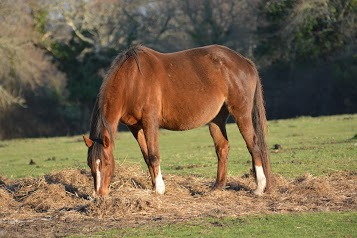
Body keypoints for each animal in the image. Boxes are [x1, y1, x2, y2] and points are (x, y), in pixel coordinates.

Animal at [83, 45, 272, 196]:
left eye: (107, 163)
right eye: (90, 165)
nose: (99, 195)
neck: (132, 80)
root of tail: (245, 61)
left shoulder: (150, 122)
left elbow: (153, 155)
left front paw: (159, 189)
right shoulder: (135, 127)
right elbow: (146, 157)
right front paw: (154, 186)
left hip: (241, 114)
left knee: (254, 145)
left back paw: (259, 188)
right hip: (216, 119)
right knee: (222, 148)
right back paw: (217, 187)